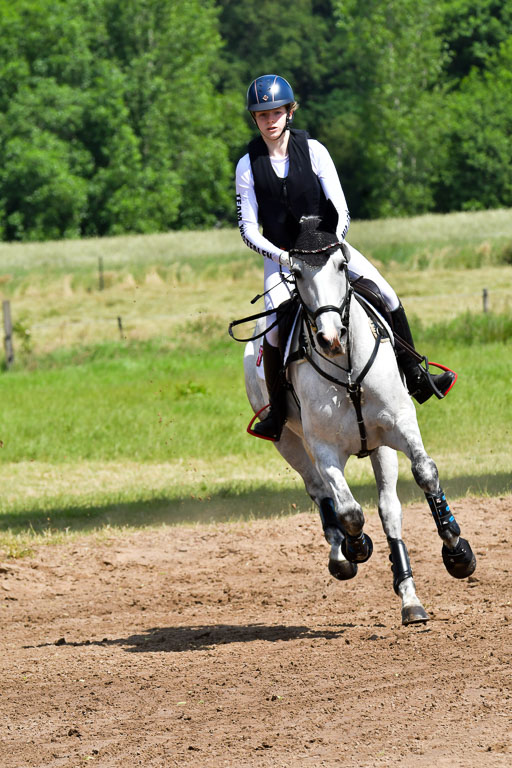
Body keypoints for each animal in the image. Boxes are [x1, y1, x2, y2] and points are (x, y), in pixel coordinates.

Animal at [241, 202, 476, 625]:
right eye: (296, 272)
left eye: (339, 264)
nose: (329, 338)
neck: (346, 368)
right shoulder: (324, 450)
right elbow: (349, 511)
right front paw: (357, 546)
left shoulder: (399, 425)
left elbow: (425, 473)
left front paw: (457, 550)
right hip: (290, 444)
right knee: (322, 494)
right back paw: (342, 554)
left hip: (379, 446)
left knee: (389, 509)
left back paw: (410, 599)